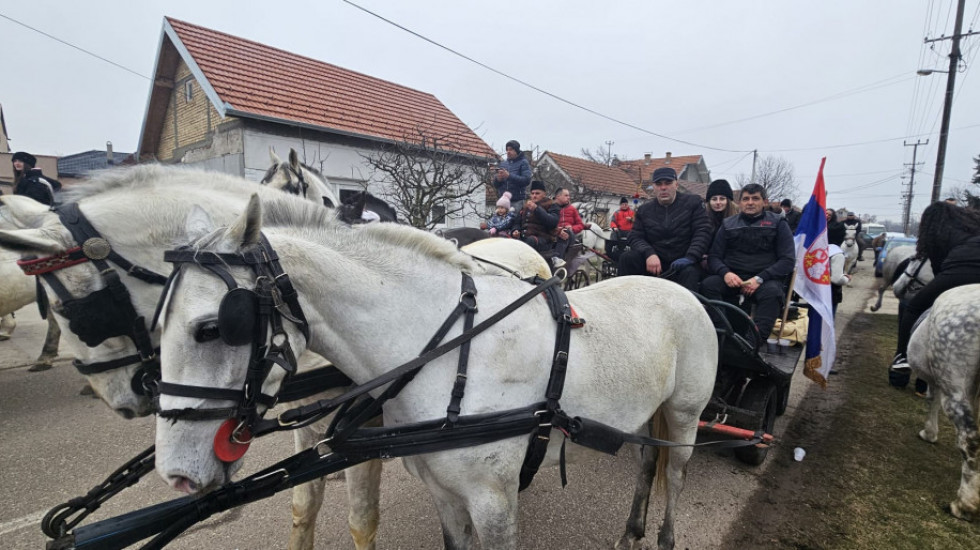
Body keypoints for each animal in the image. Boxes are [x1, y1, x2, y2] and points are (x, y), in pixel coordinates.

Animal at [155, 194, 720, 550]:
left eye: (212, 328)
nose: (176, 475)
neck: (447, 354)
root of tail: (678, 287)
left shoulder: (494, 503)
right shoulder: (446, 495)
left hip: (685, 415)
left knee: (674, 472)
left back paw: (664, 537)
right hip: (646, 413)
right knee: (647, 465)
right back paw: (632, 530)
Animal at [904, 286, 980, 524]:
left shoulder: (937, 381)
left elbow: (932, 400)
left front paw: (929, 433)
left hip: (954, 385)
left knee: (969, 439)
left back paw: (964, 505)